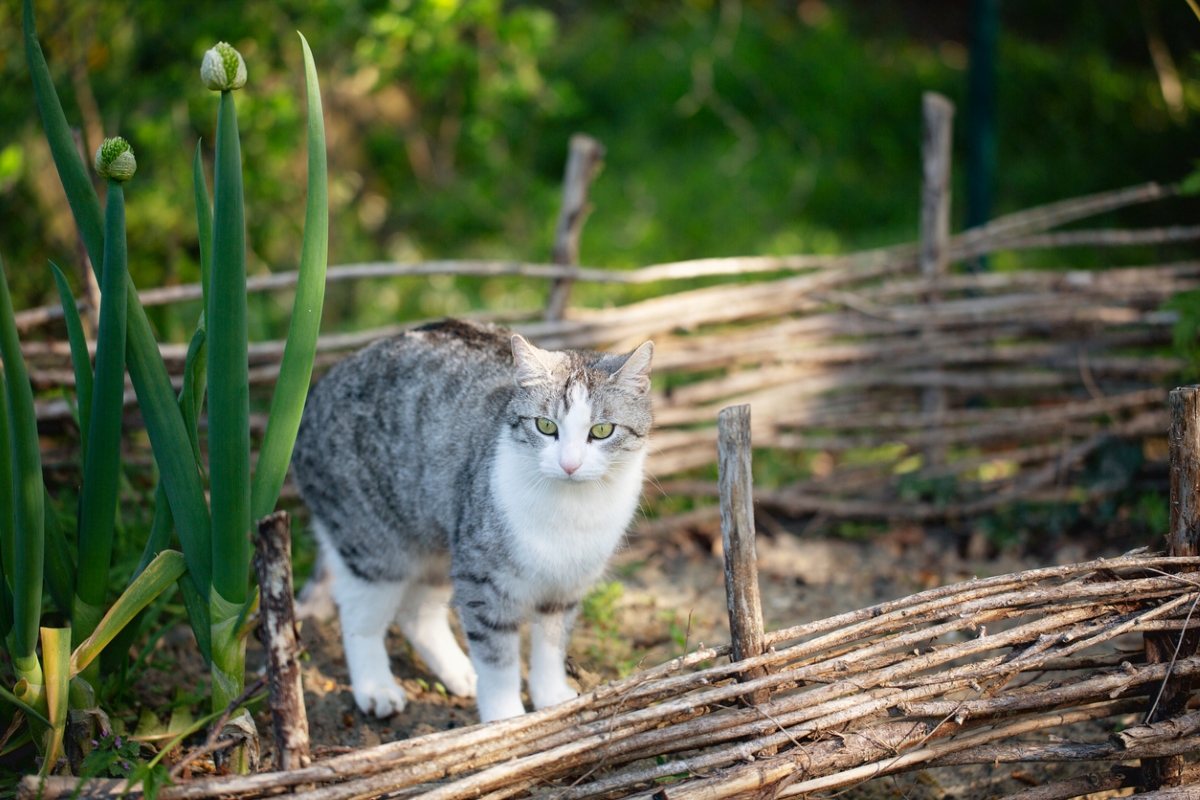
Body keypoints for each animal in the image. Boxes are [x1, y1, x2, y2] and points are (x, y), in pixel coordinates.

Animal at [292, 321, 657, 724]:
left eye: (602, 431)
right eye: (546, 426)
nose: (569, 464)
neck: (571, 510)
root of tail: (317, 388)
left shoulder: (565, 586)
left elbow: (551, 646)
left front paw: (551, 699)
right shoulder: (484, 579)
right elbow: (497, 660)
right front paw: (505, 719)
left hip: (440, 540)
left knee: (416, 614)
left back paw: (459, 673)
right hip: (374, 545)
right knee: (359, 614)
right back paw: (376, 688)